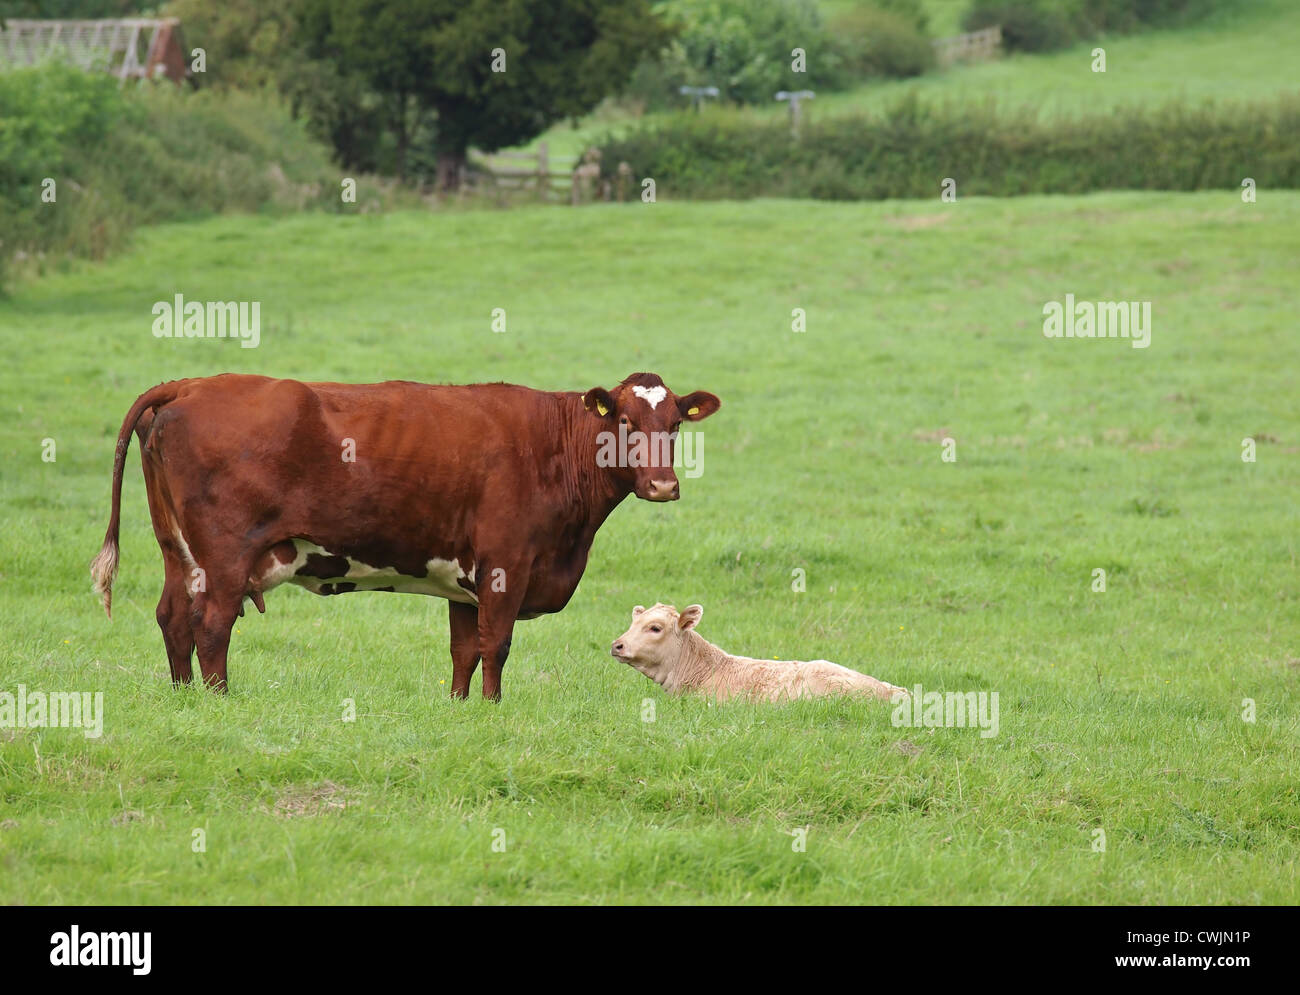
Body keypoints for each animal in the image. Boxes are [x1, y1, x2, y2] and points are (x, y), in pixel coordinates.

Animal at [90, 373, 720, 699]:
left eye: (675, 424)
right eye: (625, 421)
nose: (663, 485)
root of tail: (193, 384)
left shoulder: (466, 578)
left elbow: (465, 650)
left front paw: (464, 709)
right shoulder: (505, 565)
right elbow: (497, 645)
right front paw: (494, 709)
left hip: (179, 550)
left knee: (174, 616)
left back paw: (184, 699)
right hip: (225, 555)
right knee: (212, 624)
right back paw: (219, 700)